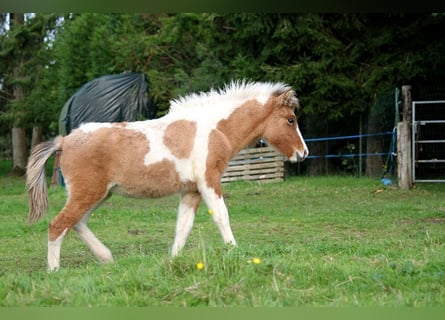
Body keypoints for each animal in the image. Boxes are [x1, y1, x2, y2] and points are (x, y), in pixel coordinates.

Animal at [25, 80, 308, 270]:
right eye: (291, 120)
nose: (303, 153)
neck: (214, 128)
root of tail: (64, 140)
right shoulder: (209, 181)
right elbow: (221, 216)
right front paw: (235, 253)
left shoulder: (191, 190)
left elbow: (183, 225)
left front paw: (173, 260)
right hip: (87, 193)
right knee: (58, 224)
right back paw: (54, 271)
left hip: (100, 194)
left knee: (77, 223)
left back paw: (107, 258)